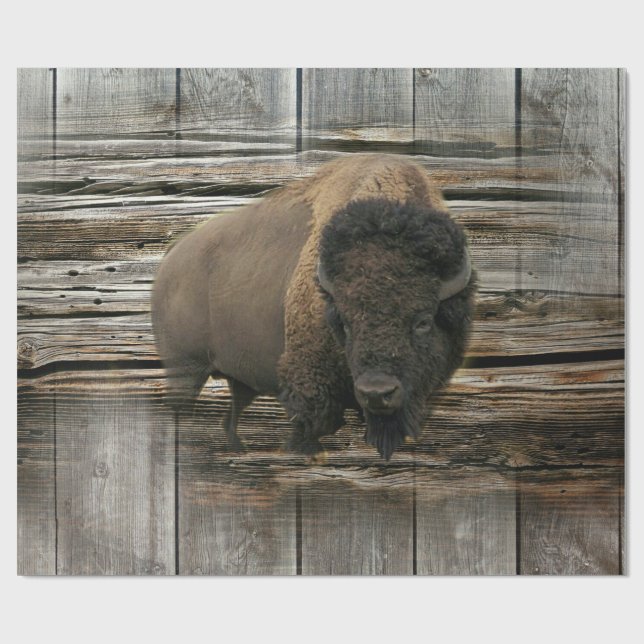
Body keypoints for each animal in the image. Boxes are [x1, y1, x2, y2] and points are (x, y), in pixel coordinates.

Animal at [152, 154, 475, 460]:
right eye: (344, 322)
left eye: (423, 321)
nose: (376, 392)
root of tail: (171, 258)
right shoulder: (310, 384)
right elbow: (310, 426)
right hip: (185, 370)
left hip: (235, 379)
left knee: (229, 418)